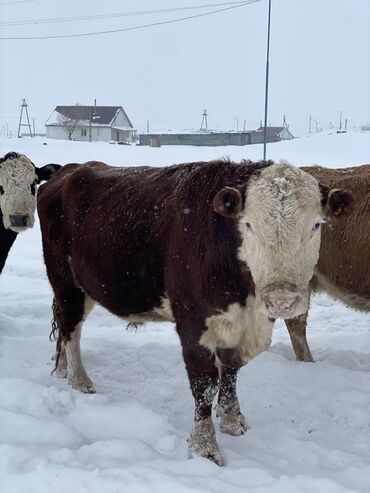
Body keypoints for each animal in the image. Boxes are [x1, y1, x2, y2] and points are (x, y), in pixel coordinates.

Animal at [36, 159, 350, 466]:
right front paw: (204, 447)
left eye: (316, 225)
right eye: (248, 224)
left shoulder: (239, 328)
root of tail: (68, 171)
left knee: (64, 326)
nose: (281, 299)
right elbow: (205, 384)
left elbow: (231, 373)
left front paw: (232, 420)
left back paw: (62, 368)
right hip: (66, 281)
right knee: (71, 328)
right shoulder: (193, 324)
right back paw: (79, 380)